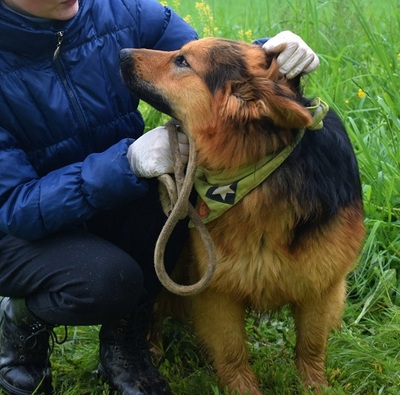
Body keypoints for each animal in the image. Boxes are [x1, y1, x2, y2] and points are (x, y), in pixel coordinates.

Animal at [119, 38, 366, 395]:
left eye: (182, 61)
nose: (121, 53)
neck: (256, 167)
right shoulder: (217, 290)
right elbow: (232, 352)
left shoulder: (321, 287)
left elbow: (311, 346)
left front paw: (314, 386)